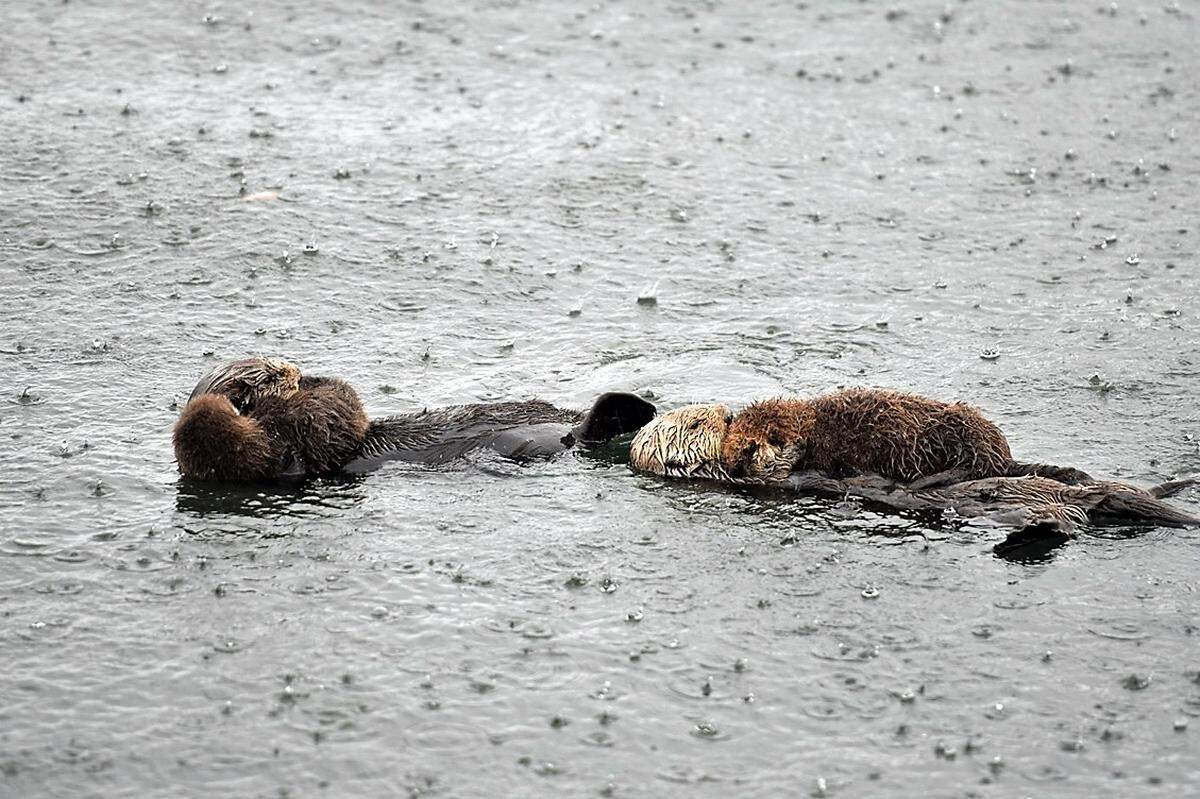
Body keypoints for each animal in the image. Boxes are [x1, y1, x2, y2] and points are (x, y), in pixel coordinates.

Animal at [174, 357, 656, 481]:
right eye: (273, 374)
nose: (294, 369)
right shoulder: (293, 449)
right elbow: (338, 412)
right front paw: (316, 383)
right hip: (560, 440)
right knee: (585, 434)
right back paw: (633, 409)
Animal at [719, 388, 1093, 485]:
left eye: (749, 449)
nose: (735, 468)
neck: (813, 426)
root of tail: (1005, 454)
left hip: (967, 436)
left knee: (974, 468)